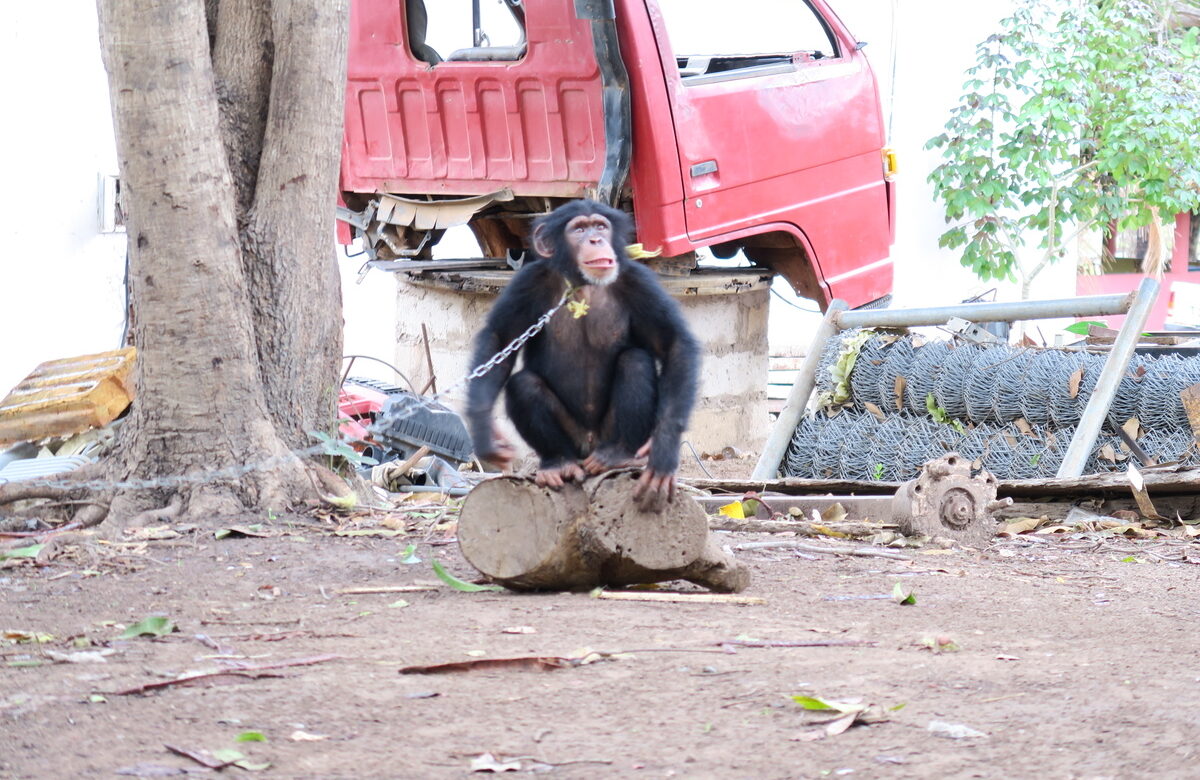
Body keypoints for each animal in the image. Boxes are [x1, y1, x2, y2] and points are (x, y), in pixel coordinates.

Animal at [466, 199, 700, 510]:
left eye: (600, 226)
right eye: (578, 229)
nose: (595, 240)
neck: (582, 283)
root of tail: (589, 446)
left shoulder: (640, 282)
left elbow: (674, 343)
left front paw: (663, 453)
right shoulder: (526, 282)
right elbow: (499, 341)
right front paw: (485, 433)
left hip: (605, 436)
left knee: (635, 361)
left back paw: (619, 454)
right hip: (574, 441)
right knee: (523, 384)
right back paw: (558, 463)